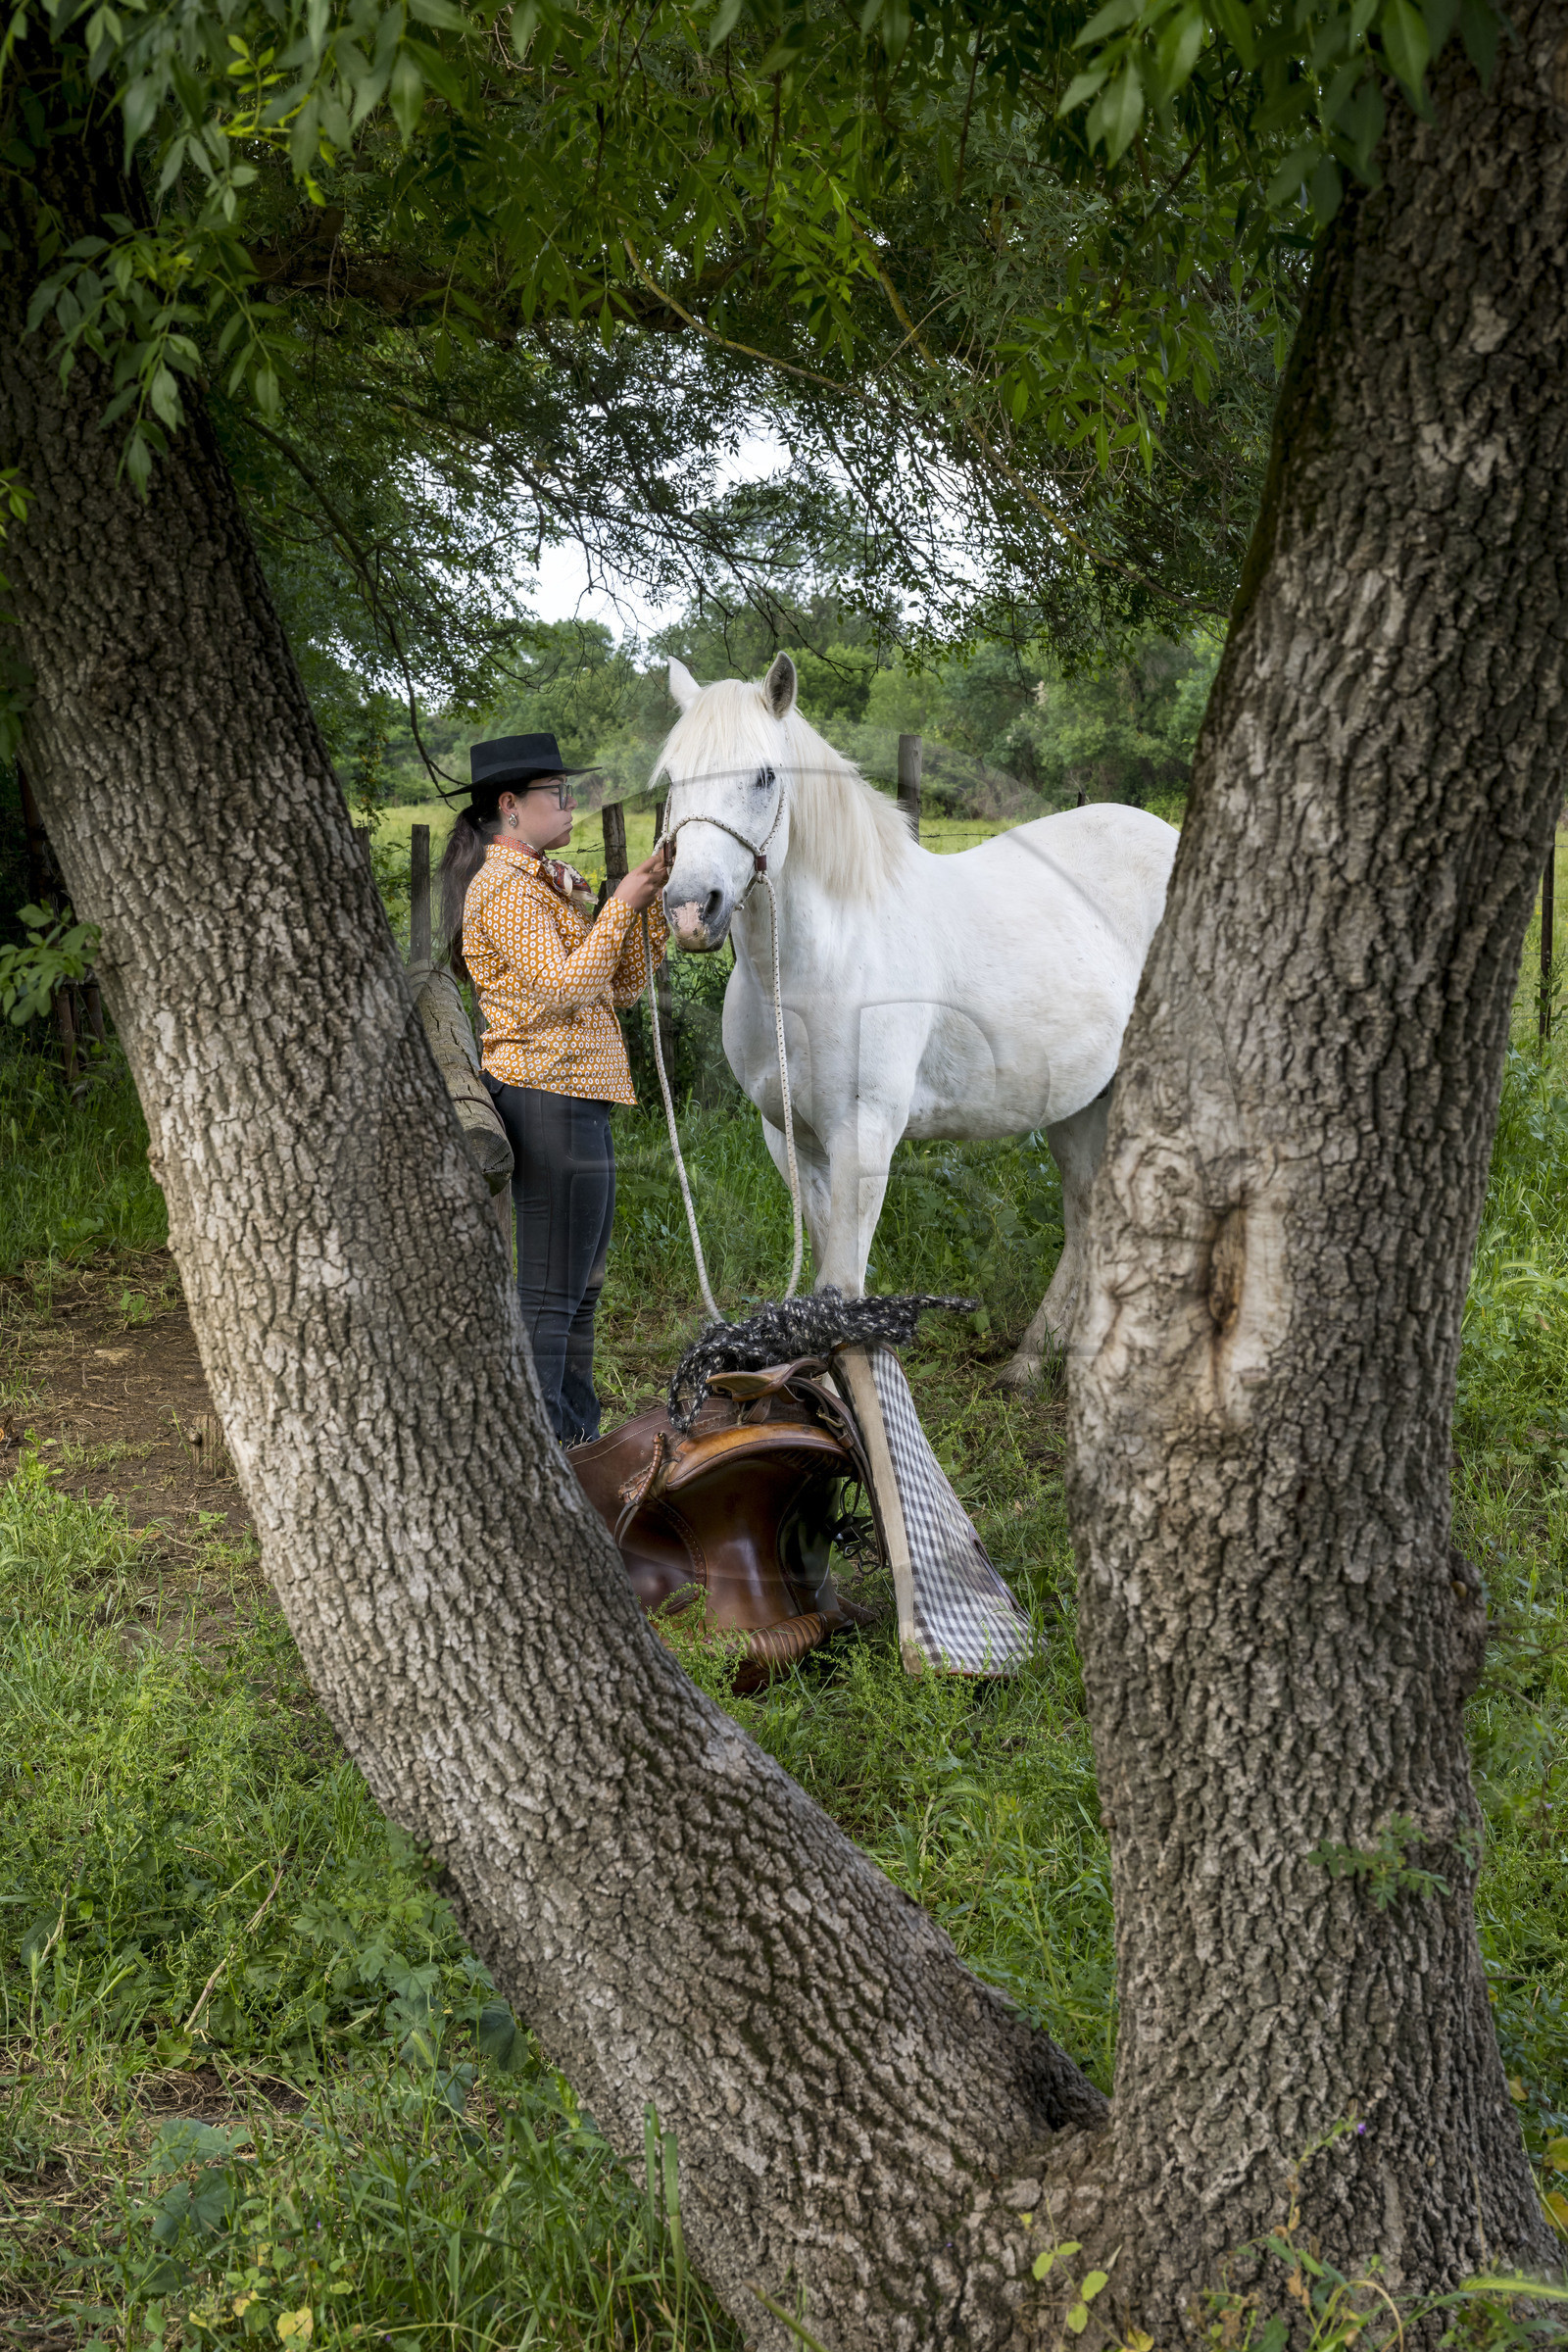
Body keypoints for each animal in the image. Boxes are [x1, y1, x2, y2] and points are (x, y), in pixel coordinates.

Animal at [656, 651, 1179, 1383]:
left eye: (764, 775)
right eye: (673, 778)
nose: (688, 909)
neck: (818, 969)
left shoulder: (865, 1136)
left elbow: (843, 1285)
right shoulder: (789, 1139)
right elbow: (824, 1282)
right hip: (1080, 1103)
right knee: (1085, 1212)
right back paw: (1035, 1362)